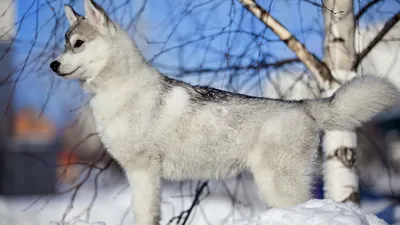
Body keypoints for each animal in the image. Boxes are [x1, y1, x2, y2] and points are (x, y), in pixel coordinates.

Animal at [50, 0, 400, 224]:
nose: (53, 64)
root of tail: (302, 106)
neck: (118, 89)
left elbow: (144, 214)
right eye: (65, 44)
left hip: (278, 185)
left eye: (78, 44)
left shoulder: (143, 170)